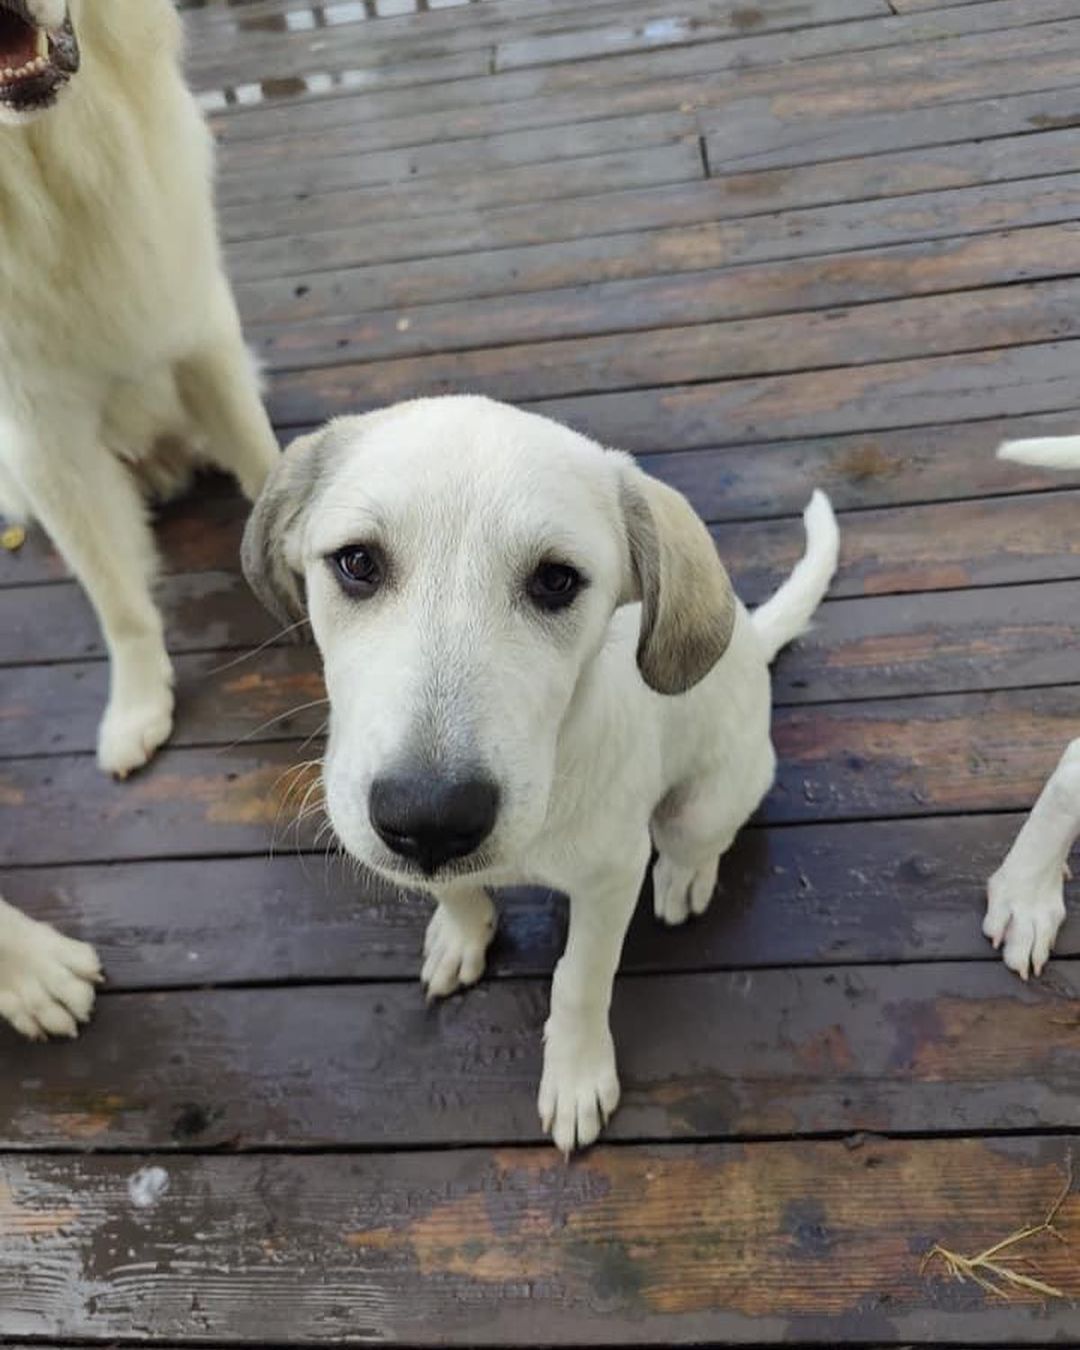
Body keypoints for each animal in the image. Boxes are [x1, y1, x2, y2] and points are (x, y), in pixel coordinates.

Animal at [0, 0, 282, 1036]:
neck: (41, 170)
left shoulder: (196, 328)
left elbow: (272, 476)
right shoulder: (40, 429)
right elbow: (117, 598)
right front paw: (137, 702)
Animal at [244, 394, 842, 1155]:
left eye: (556, 580)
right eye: (356, 562)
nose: (430, 819)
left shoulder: (613, 877)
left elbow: (579, 980)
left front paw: (577, 1076)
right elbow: (457, 893)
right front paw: (461, 932)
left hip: (706, 801)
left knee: (700, 837)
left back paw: (686, 876)